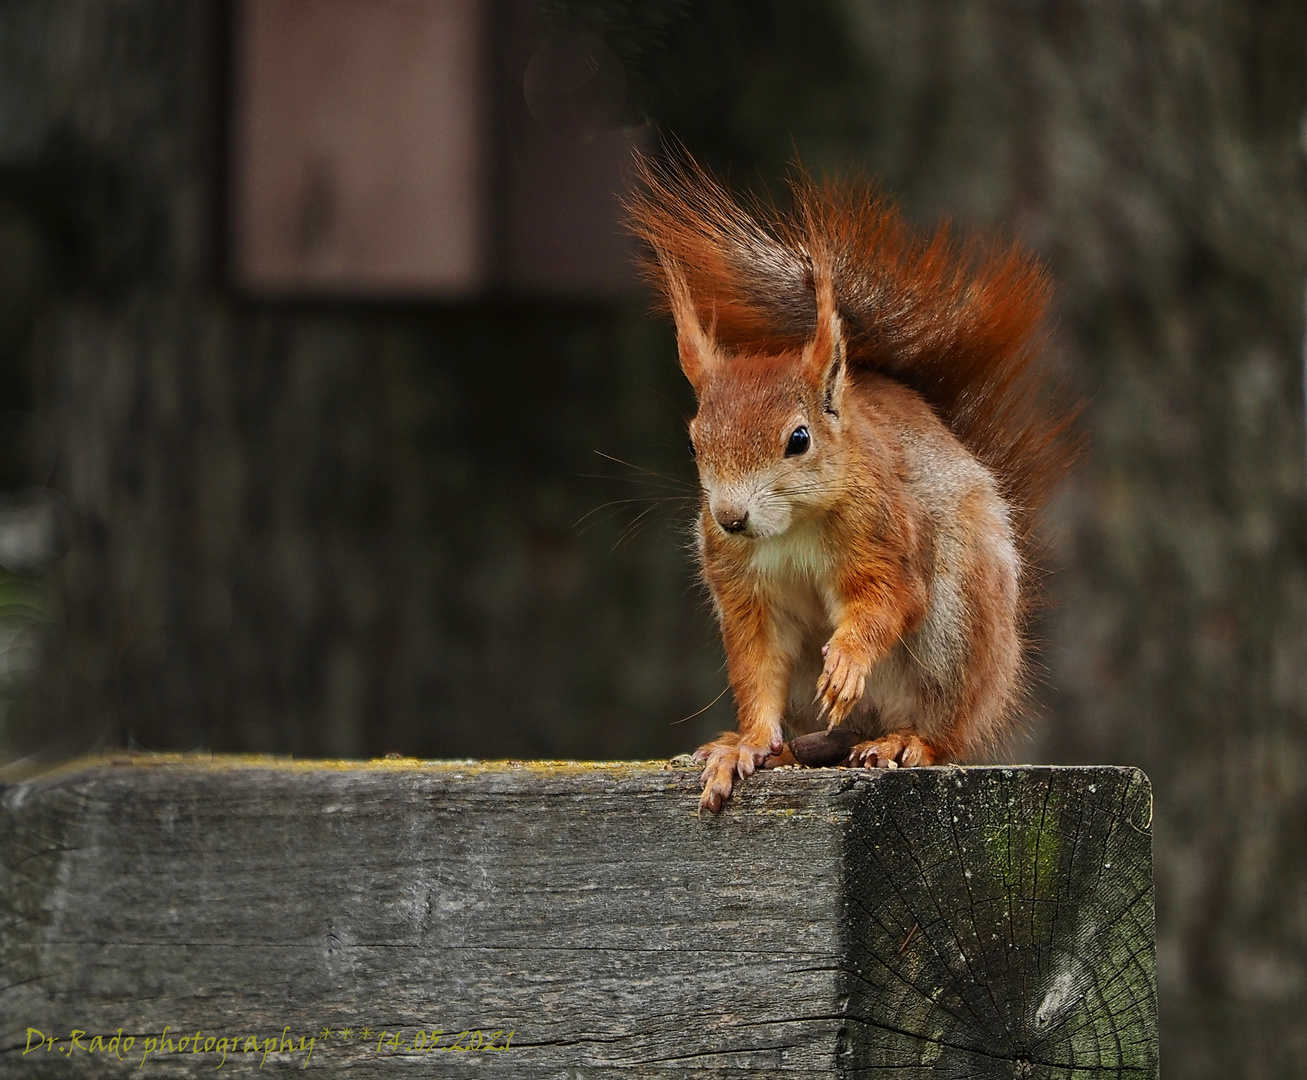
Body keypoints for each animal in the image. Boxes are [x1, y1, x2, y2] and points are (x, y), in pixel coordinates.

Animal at [627, 151, 1076, 805]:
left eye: (799, 439)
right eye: (693, 441)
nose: (730, 518)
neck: (790, 529)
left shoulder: (885, 534)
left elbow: (890, 599)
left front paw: (845, 661)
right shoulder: (745, 592)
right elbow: (758, 665)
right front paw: (747, 745)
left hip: (956, 632)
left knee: (941, 730)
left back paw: (903, 742)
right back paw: (783, 749)